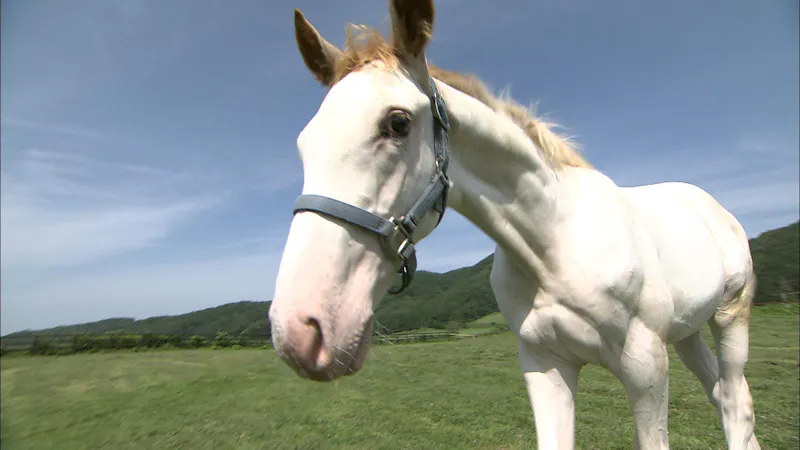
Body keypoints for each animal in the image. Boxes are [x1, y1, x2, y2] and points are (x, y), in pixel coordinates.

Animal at [268, 1, 761, 449]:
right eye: (304, 143)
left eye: (398, 123)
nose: (301, 330)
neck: (555, 241)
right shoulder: (544, 363)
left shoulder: (645, 365)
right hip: (688, 331)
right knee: (720, 393)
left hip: (729, 315)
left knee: (736, 403)